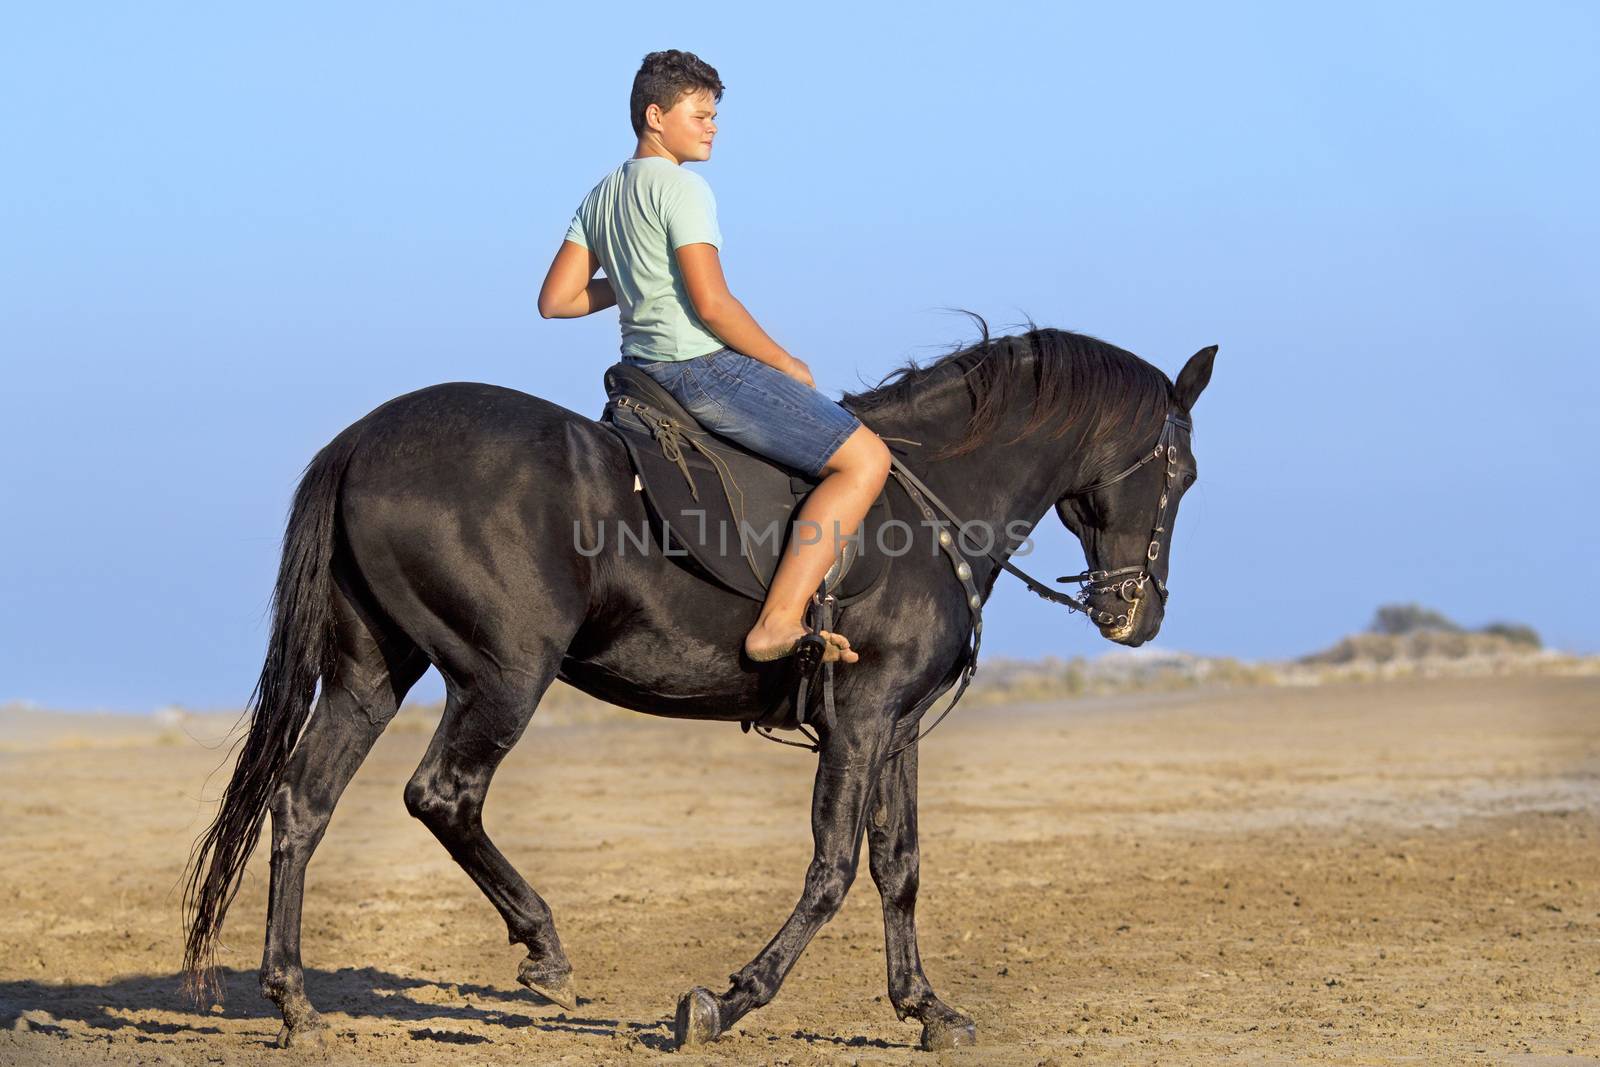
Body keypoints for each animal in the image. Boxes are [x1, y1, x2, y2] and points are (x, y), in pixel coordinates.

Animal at [181, 323, 1216, 1049]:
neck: (931, 503)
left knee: (302, 805)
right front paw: (726, 999)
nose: (1140, 616)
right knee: (443, 794)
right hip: (503, 674)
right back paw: (543, 947)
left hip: (372, 671)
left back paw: (294, 999)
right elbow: (834, 867)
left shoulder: (898, 724)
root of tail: (361, 440)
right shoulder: (863, 715)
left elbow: (900, 865)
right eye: (1184, 469)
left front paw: (926, 1007)